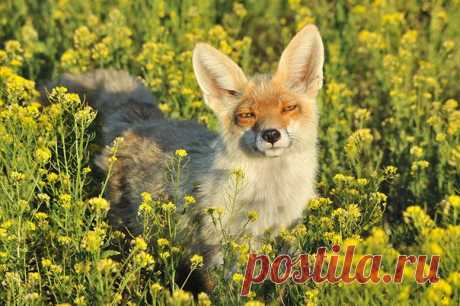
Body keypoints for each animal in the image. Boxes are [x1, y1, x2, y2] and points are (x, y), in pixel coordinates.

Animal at [43, 25, 324, 290]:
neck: (270, 193)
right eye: (247, 115)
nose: (271, 134)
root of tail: (144, 122)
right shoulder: (219, 249)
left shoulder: (286, 235)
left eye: (289, 108)